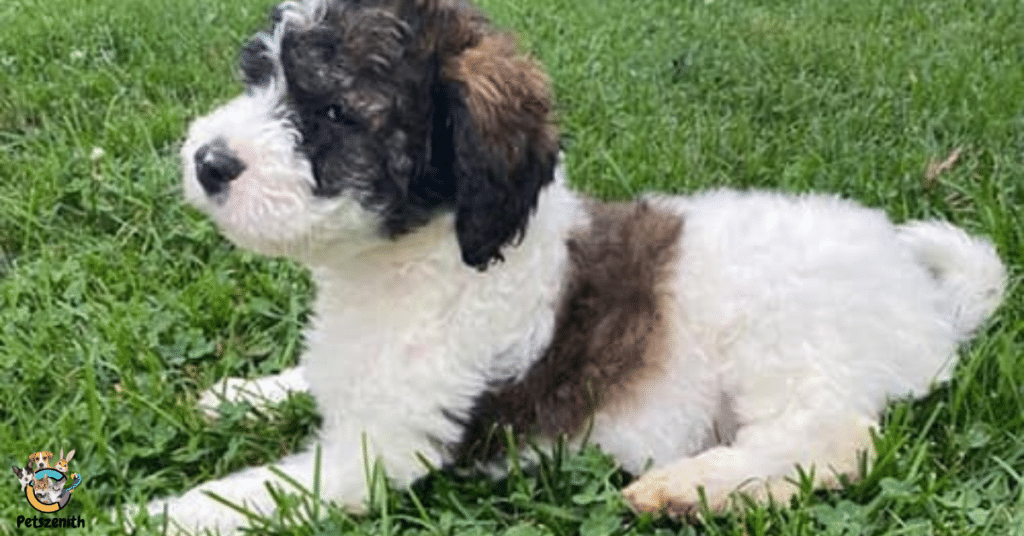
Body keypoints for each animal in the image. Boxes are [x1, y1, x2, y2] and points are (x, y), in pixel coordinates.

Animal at [148, 0, 1003, 532]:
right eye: (257, 76)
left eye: (334, 113)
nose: (207, 162)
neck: (417, 257)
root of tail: (923, 298)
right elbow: (309, 377)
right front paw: (241, 394)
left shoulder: (382, 452)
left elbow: (249, 493)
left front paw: (150, 515)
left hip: (786, 336)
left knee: (836, 439)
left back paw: (691, 487)